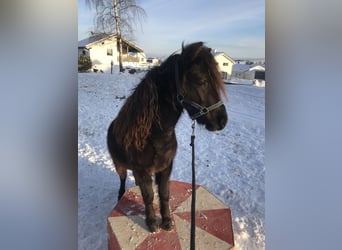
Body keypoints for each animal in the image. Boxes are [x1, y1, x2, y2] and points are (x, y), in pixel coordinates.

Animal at [107, 41, 227, 232]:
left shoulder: (165, 167)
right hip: (119, 165)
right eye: (201, 81)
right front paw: (152, 223)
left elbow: (164, 193)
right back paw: (120, 195)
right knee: (122, 179)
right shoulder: (142, 170)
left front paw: (167, 221)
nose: (222, 121)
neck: (153, 136)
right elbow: (148, 196)